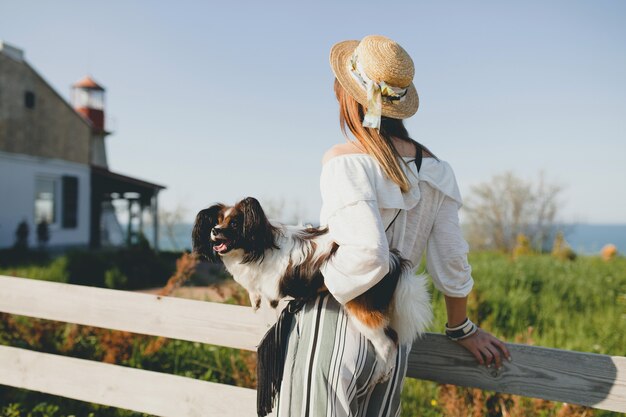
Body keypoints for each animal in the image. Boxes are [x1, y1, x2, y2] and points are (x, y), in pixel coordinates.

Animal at [193, 197, 432, 382]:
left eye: (234, 224)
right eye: (217, 221)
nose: (214, 231)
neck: (258, 245)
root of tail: (393, 259)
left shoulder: (274, 287)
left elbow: (270, 299)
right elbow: (254, 292)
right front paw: (254, 301)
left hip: (363, 311)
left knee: (388, 342)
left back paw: (380, 374)